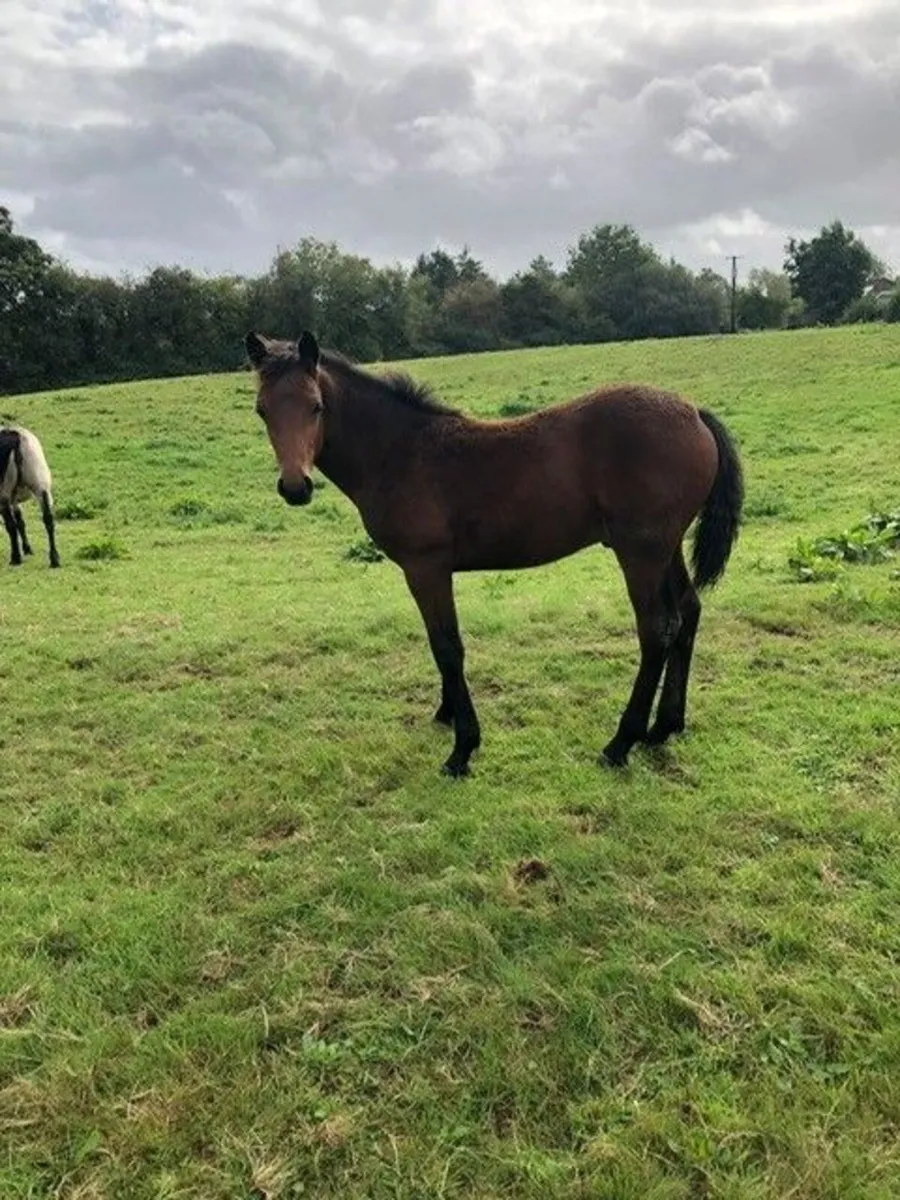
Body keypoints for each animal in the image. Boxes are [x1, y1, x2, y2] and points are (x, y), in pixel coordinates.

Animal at [0, 425, 61, 569]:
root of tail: (16, 436)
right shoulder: (15, 500)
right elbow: (20, 521)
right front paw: (27, 548)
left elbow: (15, 523)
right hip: (41, 483)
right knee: (49, 520)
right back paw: (54, 559)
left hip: (4, 491)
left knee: (10, 525)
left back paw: (15, 558)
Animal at [246, 330, 743, 778]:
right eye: (262, 410)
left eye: (316, 406)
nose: (295, 487)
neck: (401, 453)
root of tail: (694, 413)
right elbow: (441, 646)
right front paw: (446, 713)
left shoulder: (426, 567)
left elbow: (447, 646)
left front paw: (462, 748)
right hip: (665, 547)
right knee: (688, 613)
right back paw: (664, 727)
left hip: (640, 551)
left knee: (657, 631)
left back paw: (621, 743)